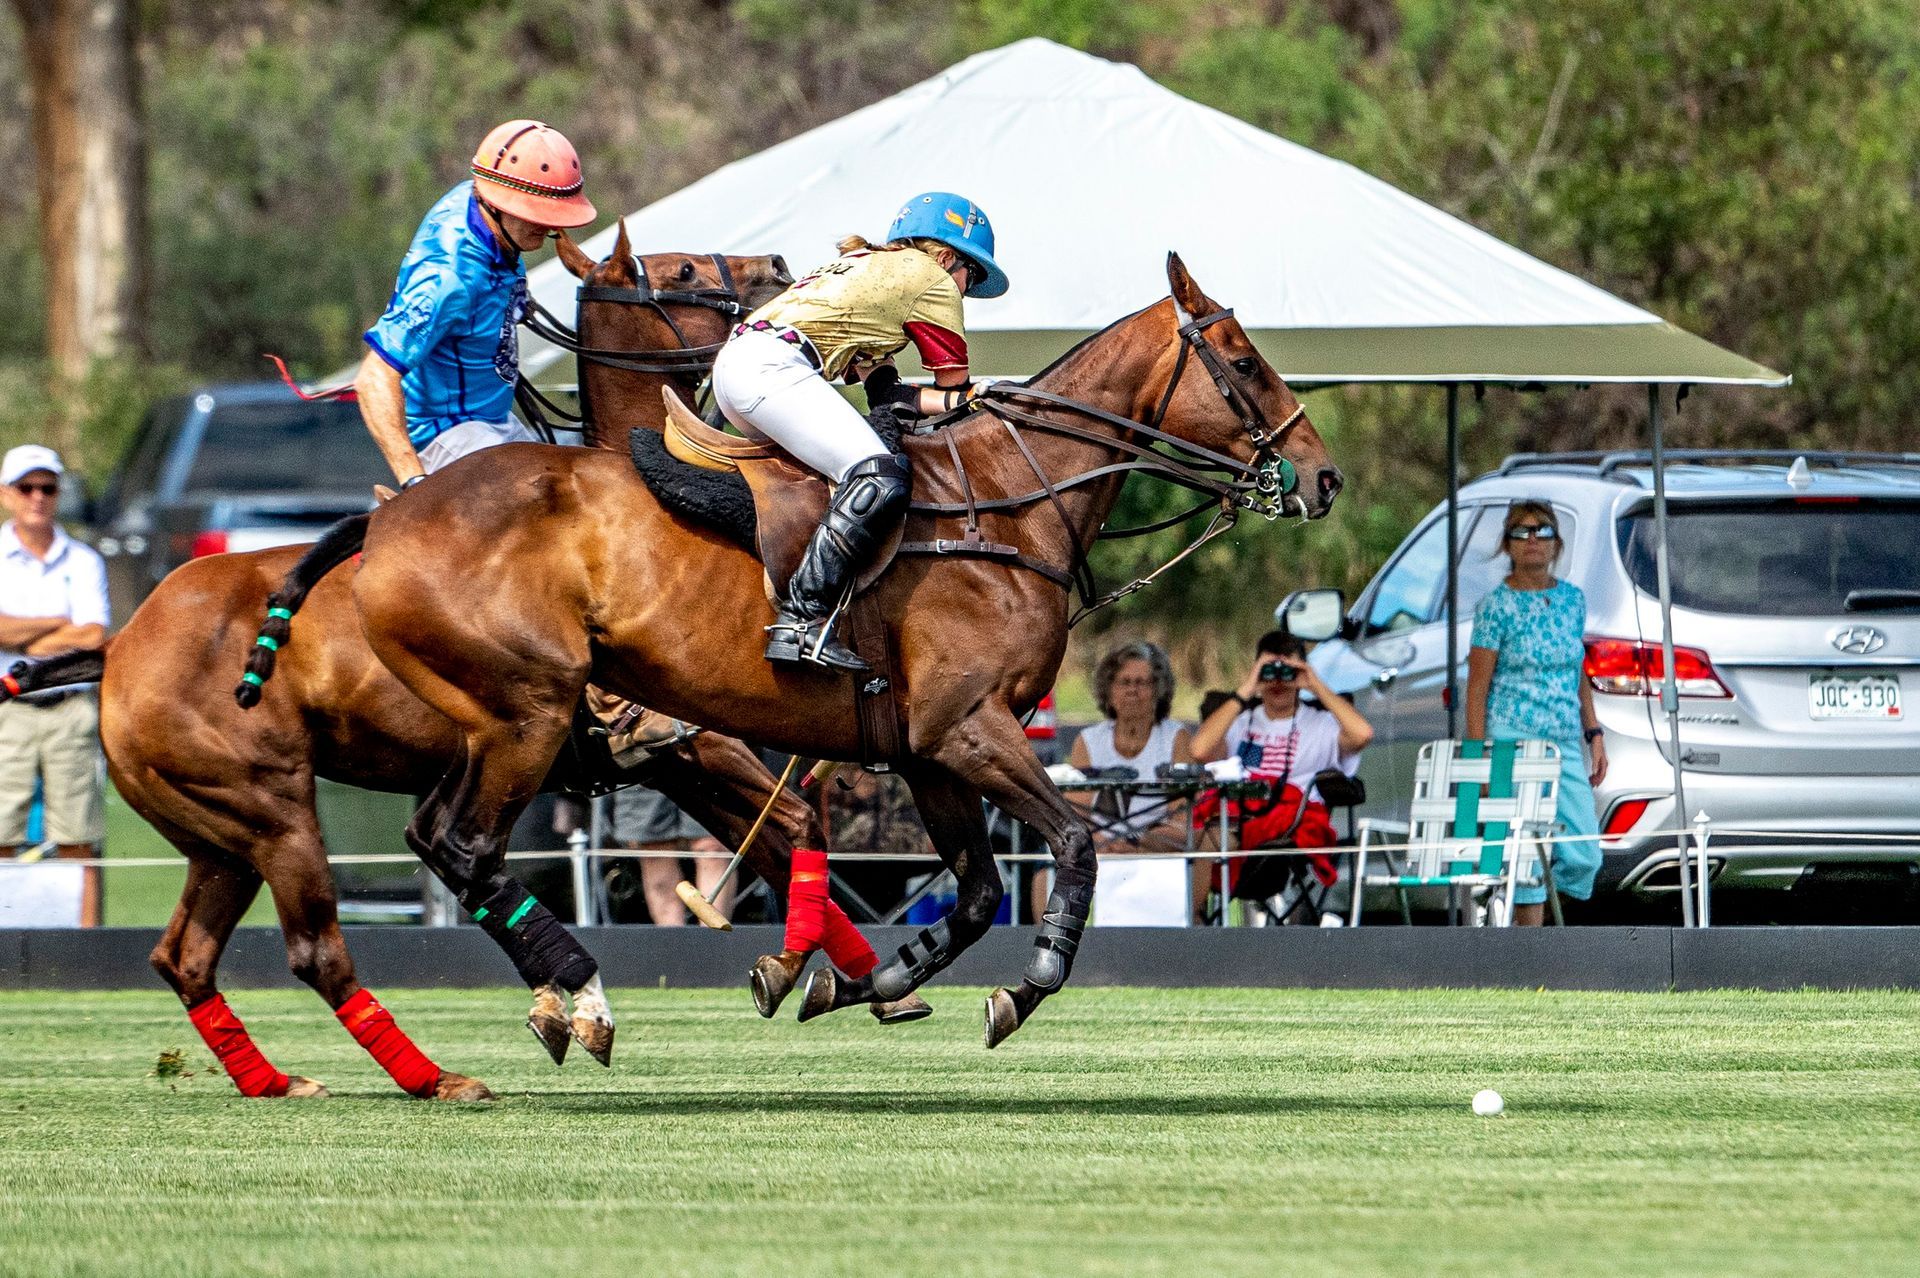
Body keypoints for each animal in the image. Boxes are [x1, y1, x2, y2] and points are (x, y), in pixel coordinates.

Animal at [0, 244, 875, 1102]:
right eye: (681, 272)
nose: (776, 266)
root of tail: (119, 646)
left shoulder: (672, 762)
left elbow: (786, 835)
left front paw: (850, 978)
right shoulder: (688, 742)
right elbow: (789, 824)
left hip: (216, 833)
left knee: (183, 954)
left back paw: (277, 1080)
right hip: (275, 812)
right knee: (319, 948)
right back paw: (438, 1075)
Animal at [277, 252, 1340, 1047]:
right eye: (1244, 362)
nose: (1323, 477)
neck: (1008, 501)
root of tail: (387, 523)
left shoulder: (926, 750)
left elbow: (970, 891)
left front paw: (854, 981)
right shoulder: (969, 730)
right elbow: (1071, 840)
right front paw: (1023, 984)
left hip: (498, 725)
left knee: (440, 842)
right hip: (528, 712)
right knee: (462, 845)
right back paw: (580, 1000)